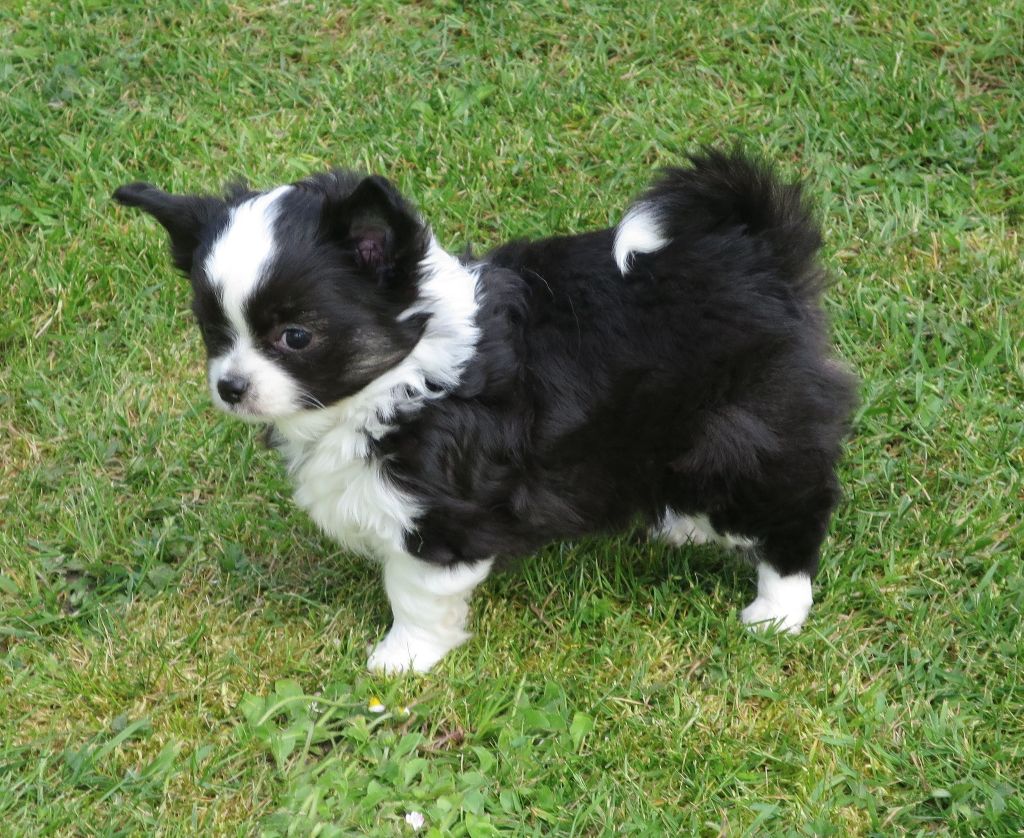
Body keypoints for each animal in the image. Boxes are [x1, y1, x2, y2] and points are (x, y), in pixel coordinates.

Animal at [113, 149, 856, 673]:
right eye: (213, 330)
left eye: (295, 336)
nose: (231, 387)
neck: (403, 375)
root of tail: (756, 257)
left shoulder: (439, 514)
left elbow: (413, 590)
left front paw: (402, 660)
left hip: (744, 431)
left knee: (794, 507)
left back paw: (776, 610)